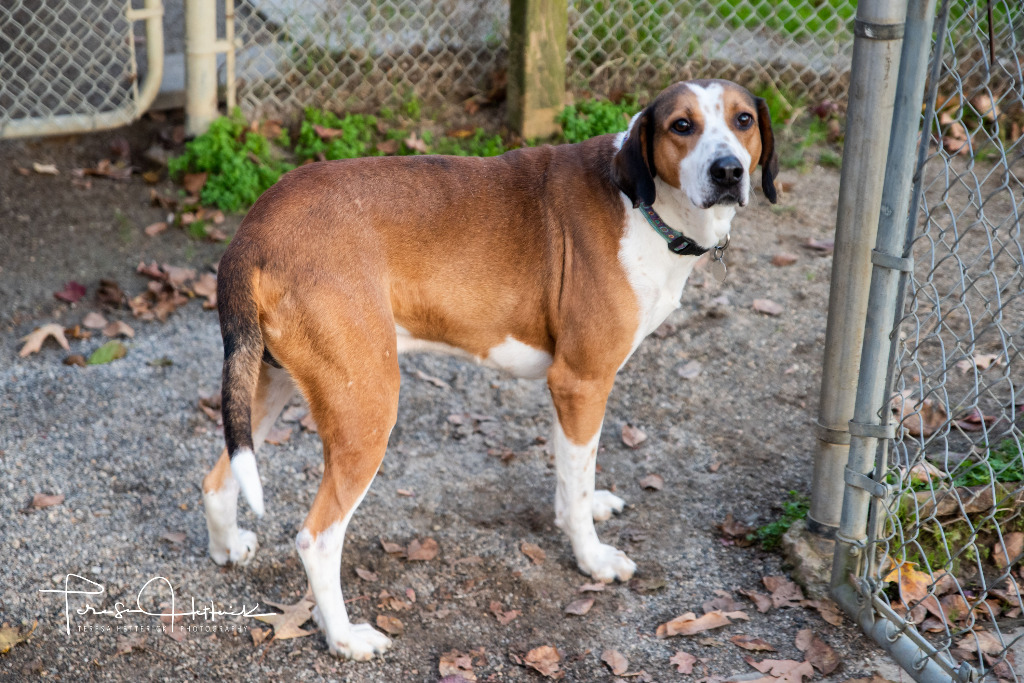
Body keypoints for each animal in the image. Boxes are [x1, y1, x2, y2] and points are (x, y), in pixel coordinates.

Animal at [199, 77, 774, 659]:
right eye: (682, 125)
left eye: (743, 120)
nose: (728, 171)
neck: (640, 201)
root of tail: (252, 234)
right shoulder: (582, 380)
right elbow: (577, 482)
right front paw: (592, 558)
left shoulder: (568, 390)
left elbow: (573, 473)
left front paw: (588, 508)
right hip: (367, 409)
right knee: (315, 538)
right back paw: (344, 638)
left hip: (268, 382)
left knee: (217, 479)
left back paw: (228, 548)